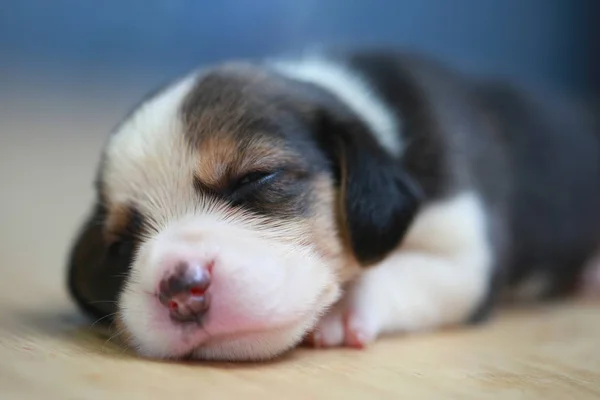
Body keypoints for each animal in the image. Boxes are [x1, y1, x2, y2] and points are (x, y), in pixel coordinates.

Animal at [65, 48, 600, 360]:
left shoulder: (466, 250)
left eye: (256, 178)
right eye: (119, 244)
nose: (180, 289)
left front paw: (342, 308)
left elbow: (400, 270)